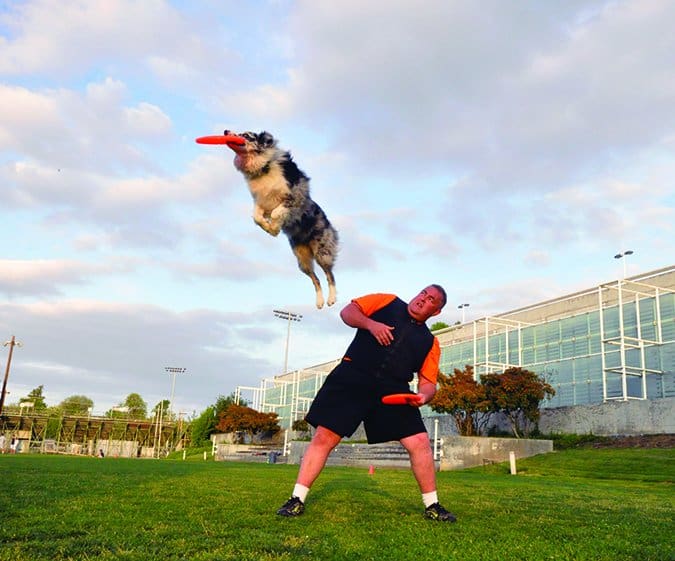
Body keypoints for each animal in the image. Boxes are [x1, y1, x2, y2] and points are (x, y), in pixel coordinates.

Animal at [223, 130, 338, 308]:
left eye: (246, 135)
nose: (225, 131)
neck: (263, 167)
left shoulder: (295, 195)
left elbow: (277, 213)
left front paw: (274, 227)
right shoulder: (260, 201)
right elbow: (257, 217)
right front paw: (268, 227)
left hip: (322, 251)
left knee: (329, 275)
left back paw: (331, 299)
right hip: (302, 259)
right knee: (315, 279)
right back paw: (319, 302)